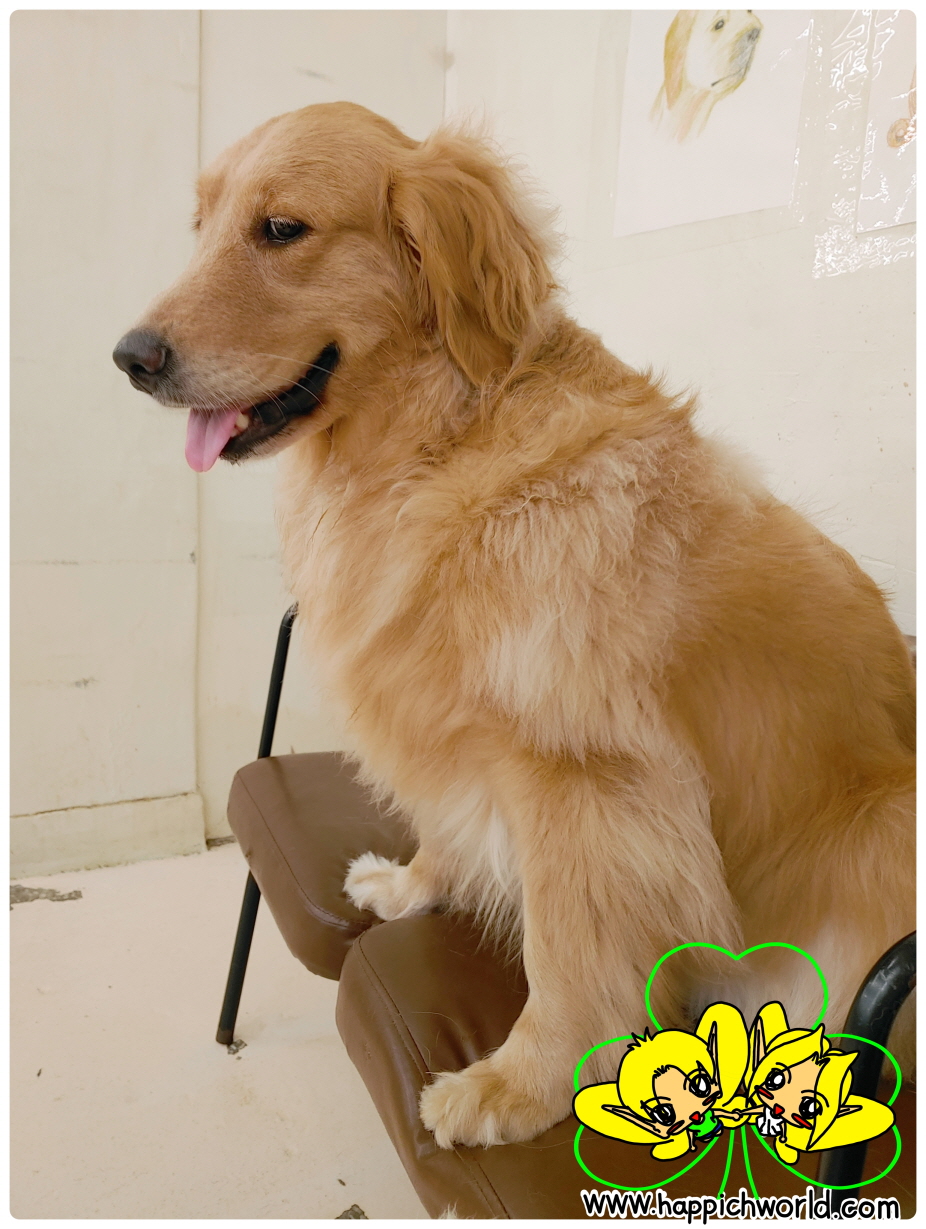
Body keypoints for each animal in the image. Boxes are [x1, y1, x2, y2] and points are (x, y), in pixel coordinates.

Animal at [113, 101, 914, 1149]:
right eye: (200, 226)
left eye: (281, 229)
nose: (130, 358)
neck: (442, 439)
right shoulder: (451, 727)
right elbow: (448, 827)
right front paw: (412, 887)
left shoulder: (588, 778)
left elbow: (567, 952)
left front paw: (520, 1086)